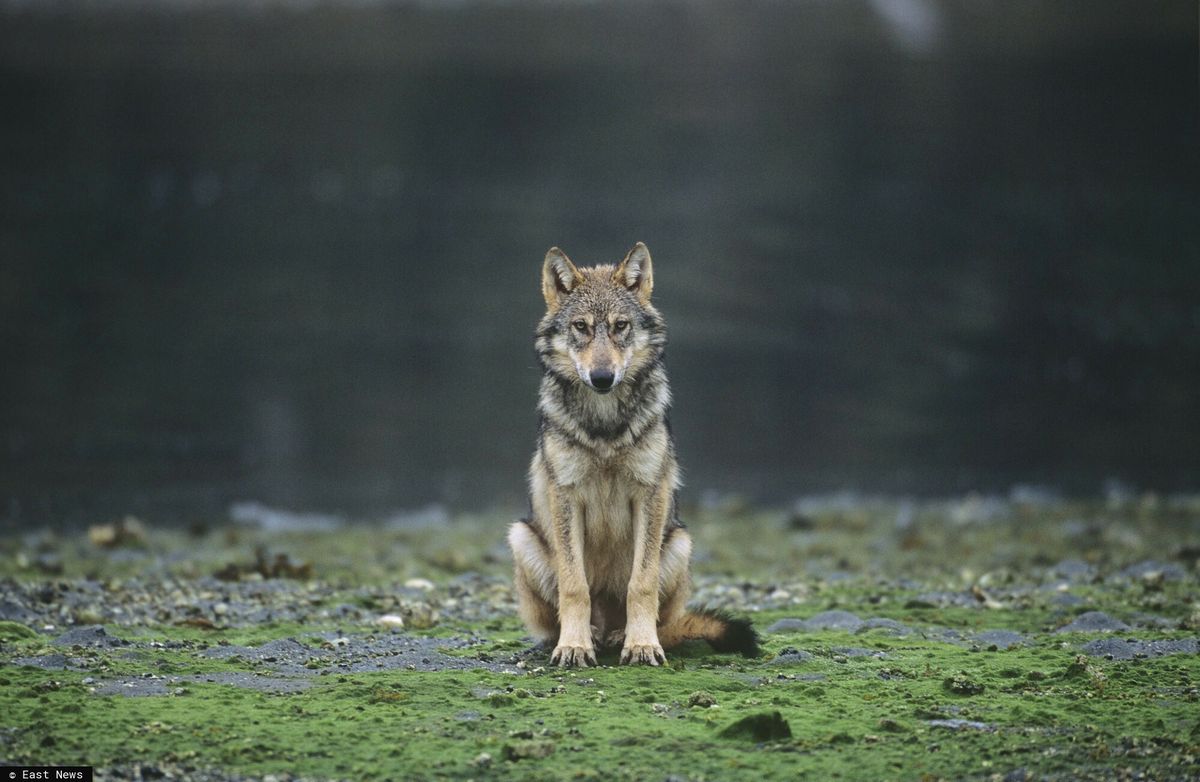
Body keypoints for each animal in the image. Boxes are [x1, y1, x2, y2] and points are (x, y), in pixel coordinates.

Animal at [506, 242, 758, 666]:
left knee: (657, 616)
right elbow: (575, 587)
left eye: (620, 326)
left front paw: (642, 644)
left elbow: (641, 585)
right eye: (581, 327)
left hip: (679, 542)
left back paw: (622, 636)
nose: (602, 378)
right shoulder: (566, 496)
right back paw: (590, 636)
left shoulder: (649, 494)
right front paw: (573, 646)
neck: (605, 427)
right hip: (521, 536)